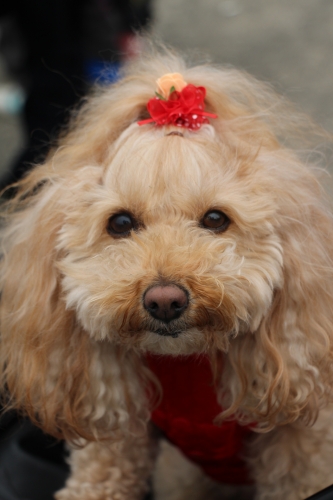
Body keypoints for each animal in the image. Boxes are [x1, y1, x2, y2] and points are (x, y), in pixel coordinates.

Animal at [0, 45, 332, 498]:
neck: (187, 367)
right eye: (120, 223)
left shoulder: (300, 443)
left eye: (216, 219)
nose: (164, 301)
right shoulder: (117, 426)